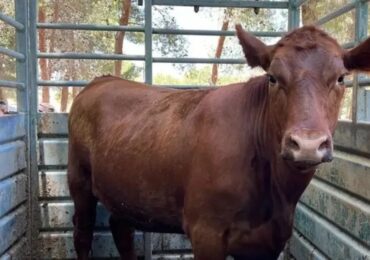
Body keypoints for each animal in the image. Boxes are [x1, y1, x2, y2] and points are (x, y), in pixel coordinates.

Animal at [68, 24, 370, 260]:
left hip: (125, 190)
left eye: (341, 78)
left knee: (121, 228)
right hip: (79, 179)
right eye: (272, 78)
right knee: (82, 234)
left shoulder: (269, 240)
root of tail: (103, 80)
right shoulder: (206, 231)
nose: (307, 144)